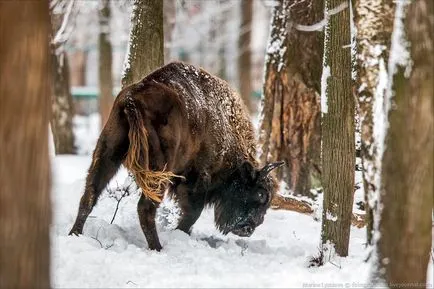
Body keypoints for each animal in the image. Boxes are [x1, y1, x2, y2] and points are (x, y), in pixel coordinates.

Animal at [69, 61, 284, 250]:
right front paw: (180, 232)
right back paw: (157, 248)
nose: (249, 228)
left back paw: (74, 234)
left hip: (108, 154)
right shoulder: (196, 179)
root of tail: (133, 98)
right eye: (260, 194)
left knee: (89, 195)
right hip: (159, 170)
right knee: (145, 208)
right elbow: (192, 213)